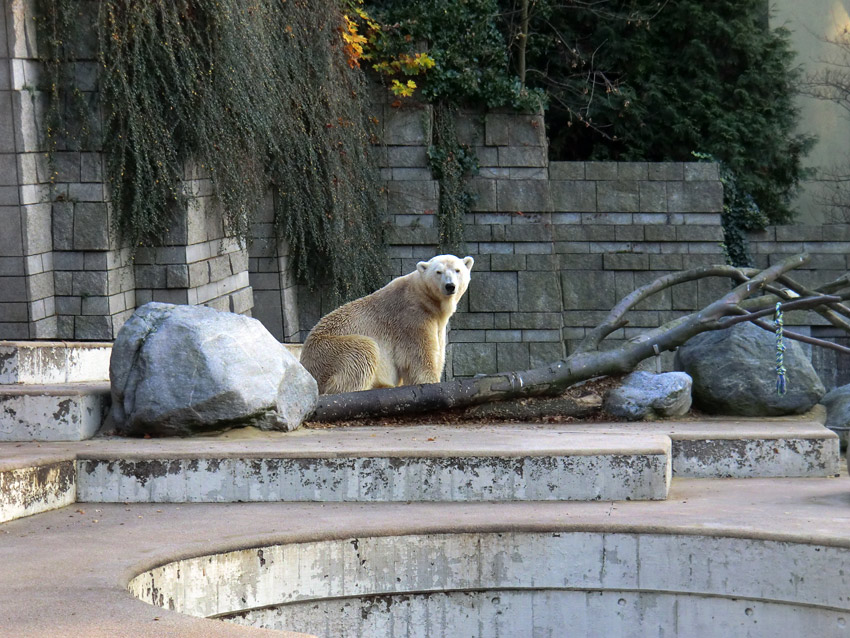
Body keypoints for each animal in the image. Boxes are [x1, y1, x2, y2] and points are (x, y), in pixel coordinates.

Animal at [298, 255, 474, 396]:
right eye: (438, 272)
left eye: (457, 270)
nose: (450, 286)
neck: (425, 300)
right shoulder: (411, 318)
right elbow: (419, 359)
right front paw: (432, 383)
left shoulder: (436, 322)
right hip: (329, 351)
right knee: (362, 353)